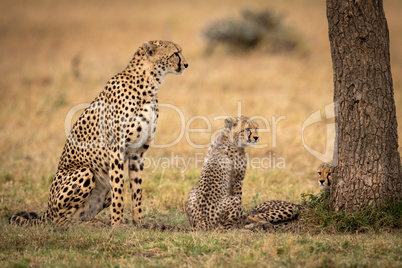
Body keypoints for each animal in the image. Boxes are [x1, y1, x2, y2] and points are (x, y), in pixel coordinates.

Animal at [9, 40, 188, 226]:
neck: (149, 86)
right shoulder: (117, 149)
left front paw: (138, 222)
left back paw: (94, 221)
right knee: (59, 220)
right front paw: (117, 224)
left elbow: (136, 190)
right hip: (84, 172)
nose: (186, 64)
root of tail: (46, 211)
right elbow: (119, 190)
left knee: (81, 214)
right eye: (175, 53)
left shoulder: (138, 151)